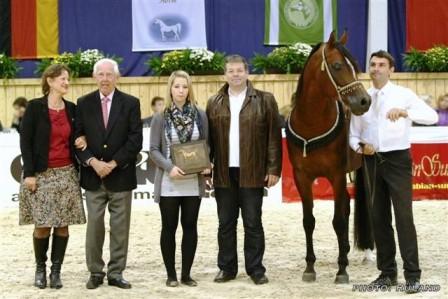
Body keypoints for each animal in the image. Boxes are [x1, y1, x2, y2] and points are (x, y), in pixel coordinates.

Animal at [286, 31, 372, 284]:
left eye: (355, 66)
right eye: (337, 66)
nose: (364, 101)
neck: (311, 124)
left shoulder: (336, 175)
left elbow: (338, 221)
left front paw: (342, 270)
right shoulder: (302, 178)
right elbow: (309, 221)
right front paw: (309, 268)